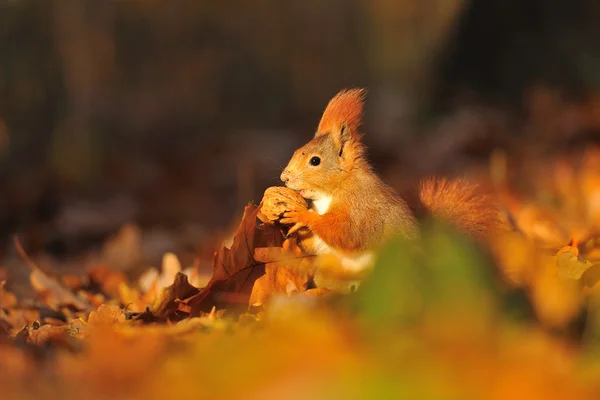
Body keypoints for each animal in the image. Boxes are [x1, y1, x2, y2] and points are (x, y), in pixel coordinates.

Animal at [276, 89, 496, 274]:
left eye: (315, 161)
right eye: (296, 151)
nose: (284, 177)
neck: (337, 188)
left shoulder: (359, 209)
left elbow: (346, 234)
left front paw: (304, 215)